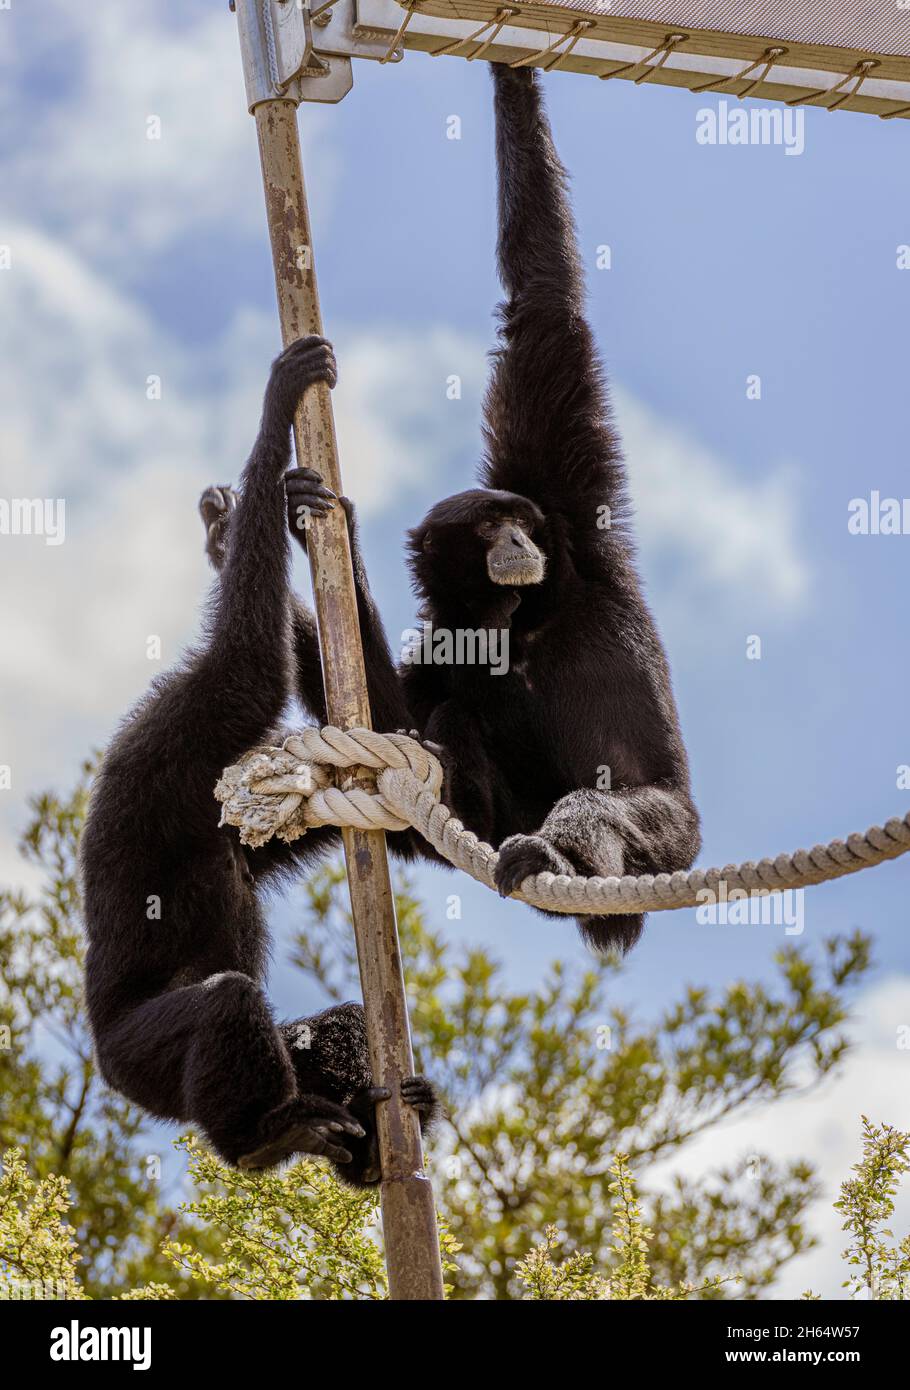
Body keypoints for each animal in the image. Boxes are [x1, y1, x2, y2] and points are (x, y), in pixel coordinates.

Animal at [81, 336, 436, 1180]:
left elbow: (411, 781)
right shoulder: (185, 732)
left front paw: (282, 520)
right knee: (225, 1003)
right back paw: (263, 1134)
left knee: (321, 1023)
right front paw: (276, 416)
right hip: (139, 1057)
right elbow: (248, 666)